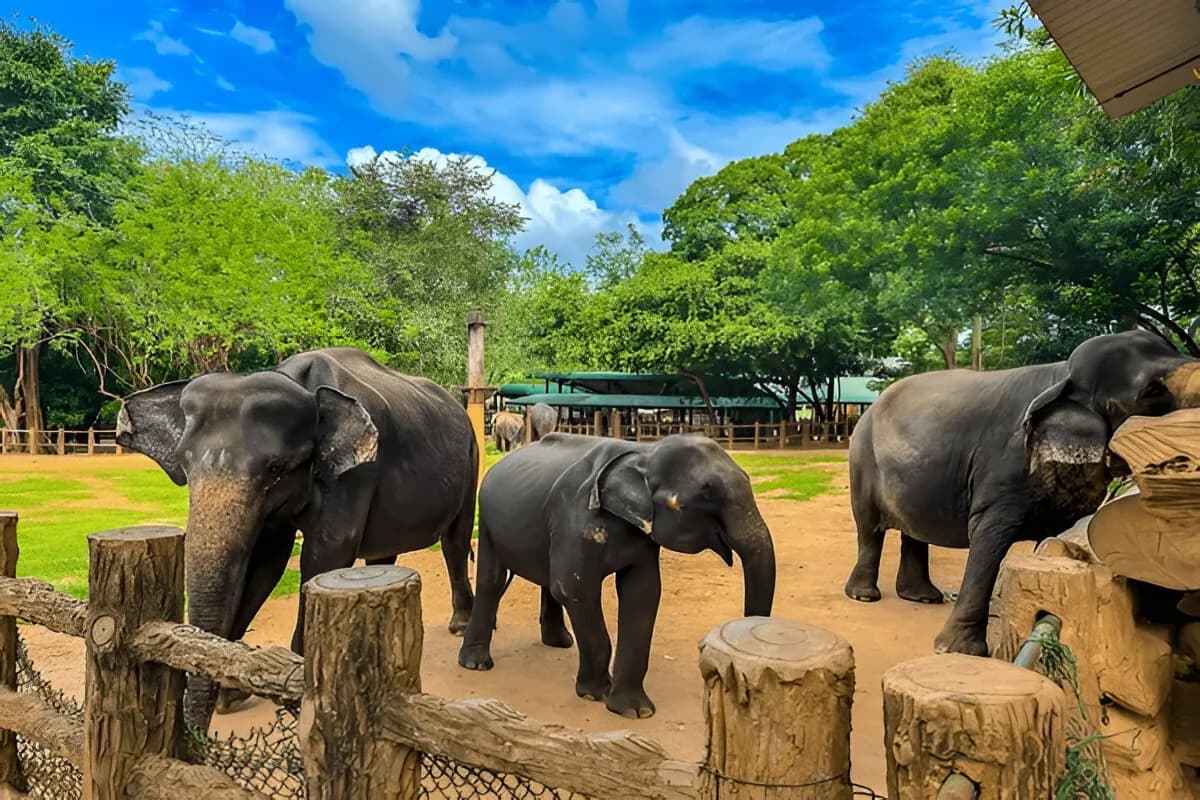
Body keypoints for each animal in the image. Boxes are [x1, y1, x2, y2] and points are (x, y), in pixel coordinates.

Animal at [116, 347, 478, 732]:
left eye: (276, 468)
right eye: (183, 465)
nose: (196, 736)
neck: (298, 382)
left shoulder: (358, 472)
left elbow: (325, 554)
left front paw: (297, 686)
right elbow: (266, 561)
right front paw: (231, 695)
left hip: (471, 459)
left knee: (455, 540)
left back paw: (460, 625)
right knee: (384, 553)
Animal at [458, 432, 776, 719]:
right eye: (707, 492)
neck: (643, 453)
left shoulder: (644, 538)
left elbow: (643, 593)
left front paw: (635, 711)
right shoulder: (577, 518)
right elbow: (575, 589)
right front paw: (596, 694)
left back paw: (559, 642)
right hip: (486, 520)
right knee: (492, 580)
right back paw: (476, 664)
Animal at [845, 330, 1200, 656]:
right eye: (1153, 391)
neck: (1061, 374)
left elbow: (1055, 538)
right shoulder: (1003, 468)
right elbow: (987, 537)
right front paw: (960, 652)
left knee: (913, 531)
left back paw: (923, 597)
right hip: (862, 458)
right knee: (869, 529)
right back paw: (864, 596)